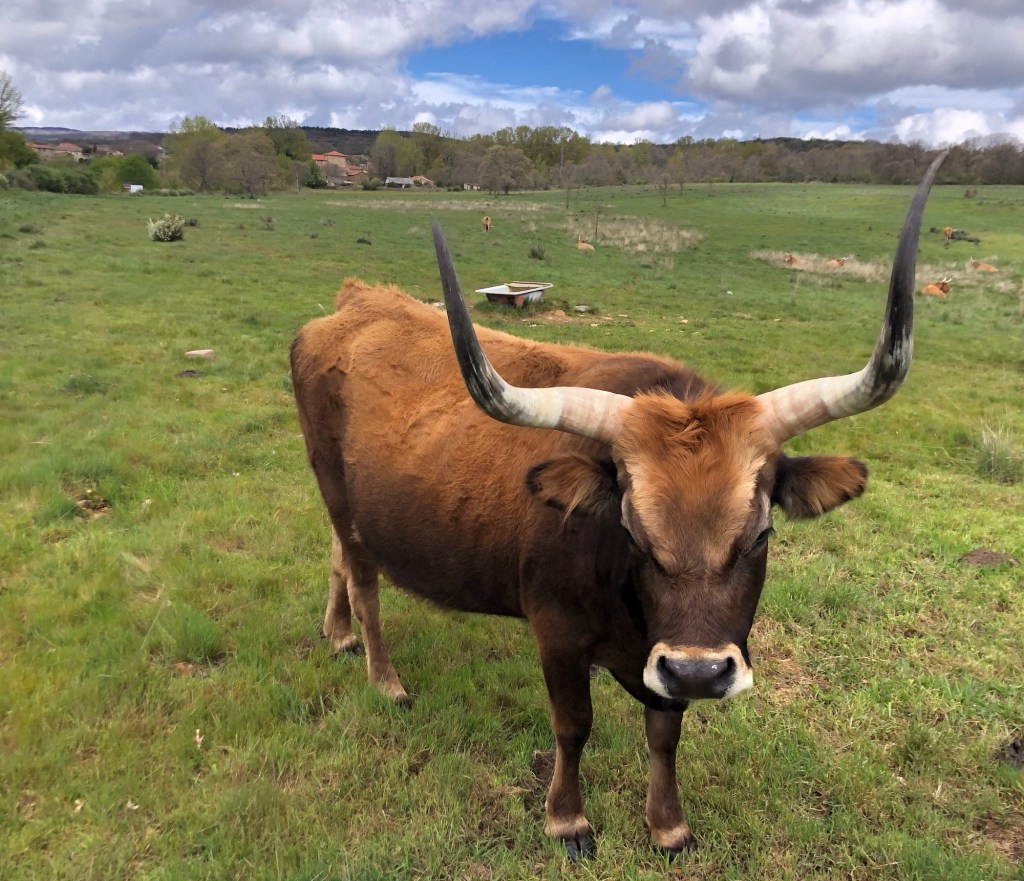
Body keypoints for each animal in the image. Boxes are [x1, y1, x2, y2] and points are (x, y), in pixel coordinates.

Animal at [290, 153, 946, 860]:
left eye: (761, 534)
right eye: (632, 530)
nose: (699, 672)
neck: (624, 607)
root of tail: (359, 299)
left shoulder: (660, 666)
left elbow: (664, 734)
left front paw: (667, 824)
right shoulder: (556, 635)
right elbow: (573, 725)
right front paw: (568, 819)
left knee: (338, 558)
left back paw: (338, 636)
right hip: (335, 487)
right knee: (365, 584)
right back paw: (384, 678)